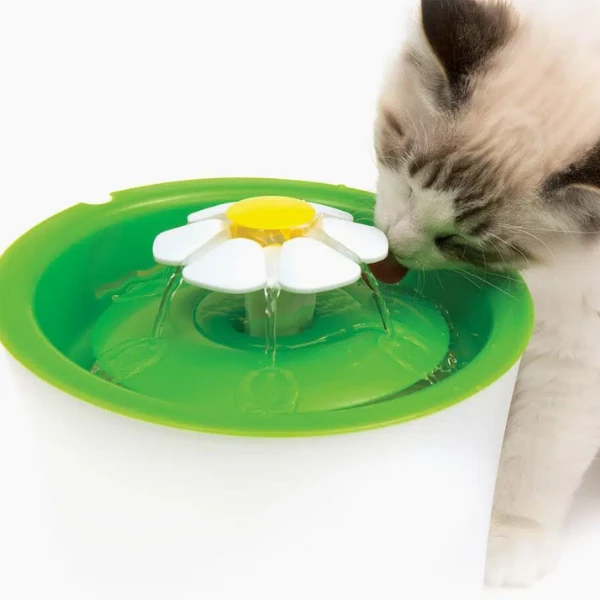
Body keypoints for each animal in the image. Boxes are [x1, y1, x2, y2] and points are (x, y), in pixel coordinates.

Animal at [373, 0, 600, 588]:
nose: (396, 247)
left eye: (462, 241)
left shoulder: (576, 360)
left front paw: (504, 548)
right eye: (404, 175)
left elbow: (535, 460)